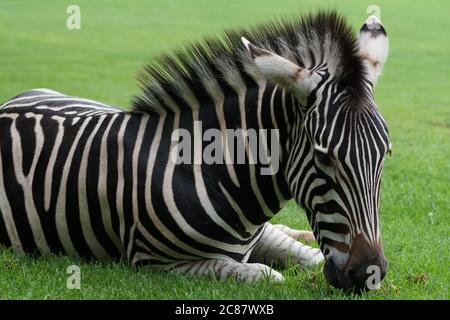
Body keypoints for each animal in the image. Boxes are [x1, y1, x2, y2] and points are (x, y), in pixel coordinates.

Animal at [0, 10, 388, 292]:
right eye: (324, 157)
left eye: (385, 155)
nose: (369, 274)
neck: (215, 173)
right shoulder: (156, 260)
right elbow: (265, 273)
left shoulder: (262, 236)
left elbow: (308, 255)